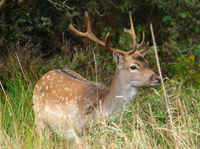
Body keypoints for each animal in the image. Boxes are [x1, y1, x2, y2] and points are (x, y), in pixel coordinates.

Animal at [32, 11, 161, 143]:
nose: (157, 78)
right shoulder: (77, 131)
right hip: (39, 118)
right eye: (133, 67)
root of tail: (43, 77)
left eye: (146, 62)